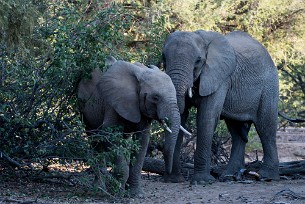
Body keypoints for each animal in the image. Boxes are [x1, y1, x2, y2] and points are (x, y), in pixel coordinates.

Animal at [76, 56, 188, 197]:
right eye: (155, 97)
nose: (167, 173)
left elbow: (142, 142)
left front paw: (136, 194)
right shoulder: (113, 103)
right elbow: (109, 135)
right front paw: (118, 193)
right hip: (84, 106)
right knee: (95, 139)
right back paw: (100, 188)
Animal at [163, 29, 280, 183]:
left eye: (198, 61)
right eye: (163, 58)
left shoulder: (221, 78)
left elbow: (207, 117)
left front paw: (201, 181)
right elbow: (181, 115)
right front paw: (174, 180)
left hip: (269, 87)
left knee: (265, 128)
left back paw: (267, 176)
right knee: (236, 132)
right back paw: (229, 176)